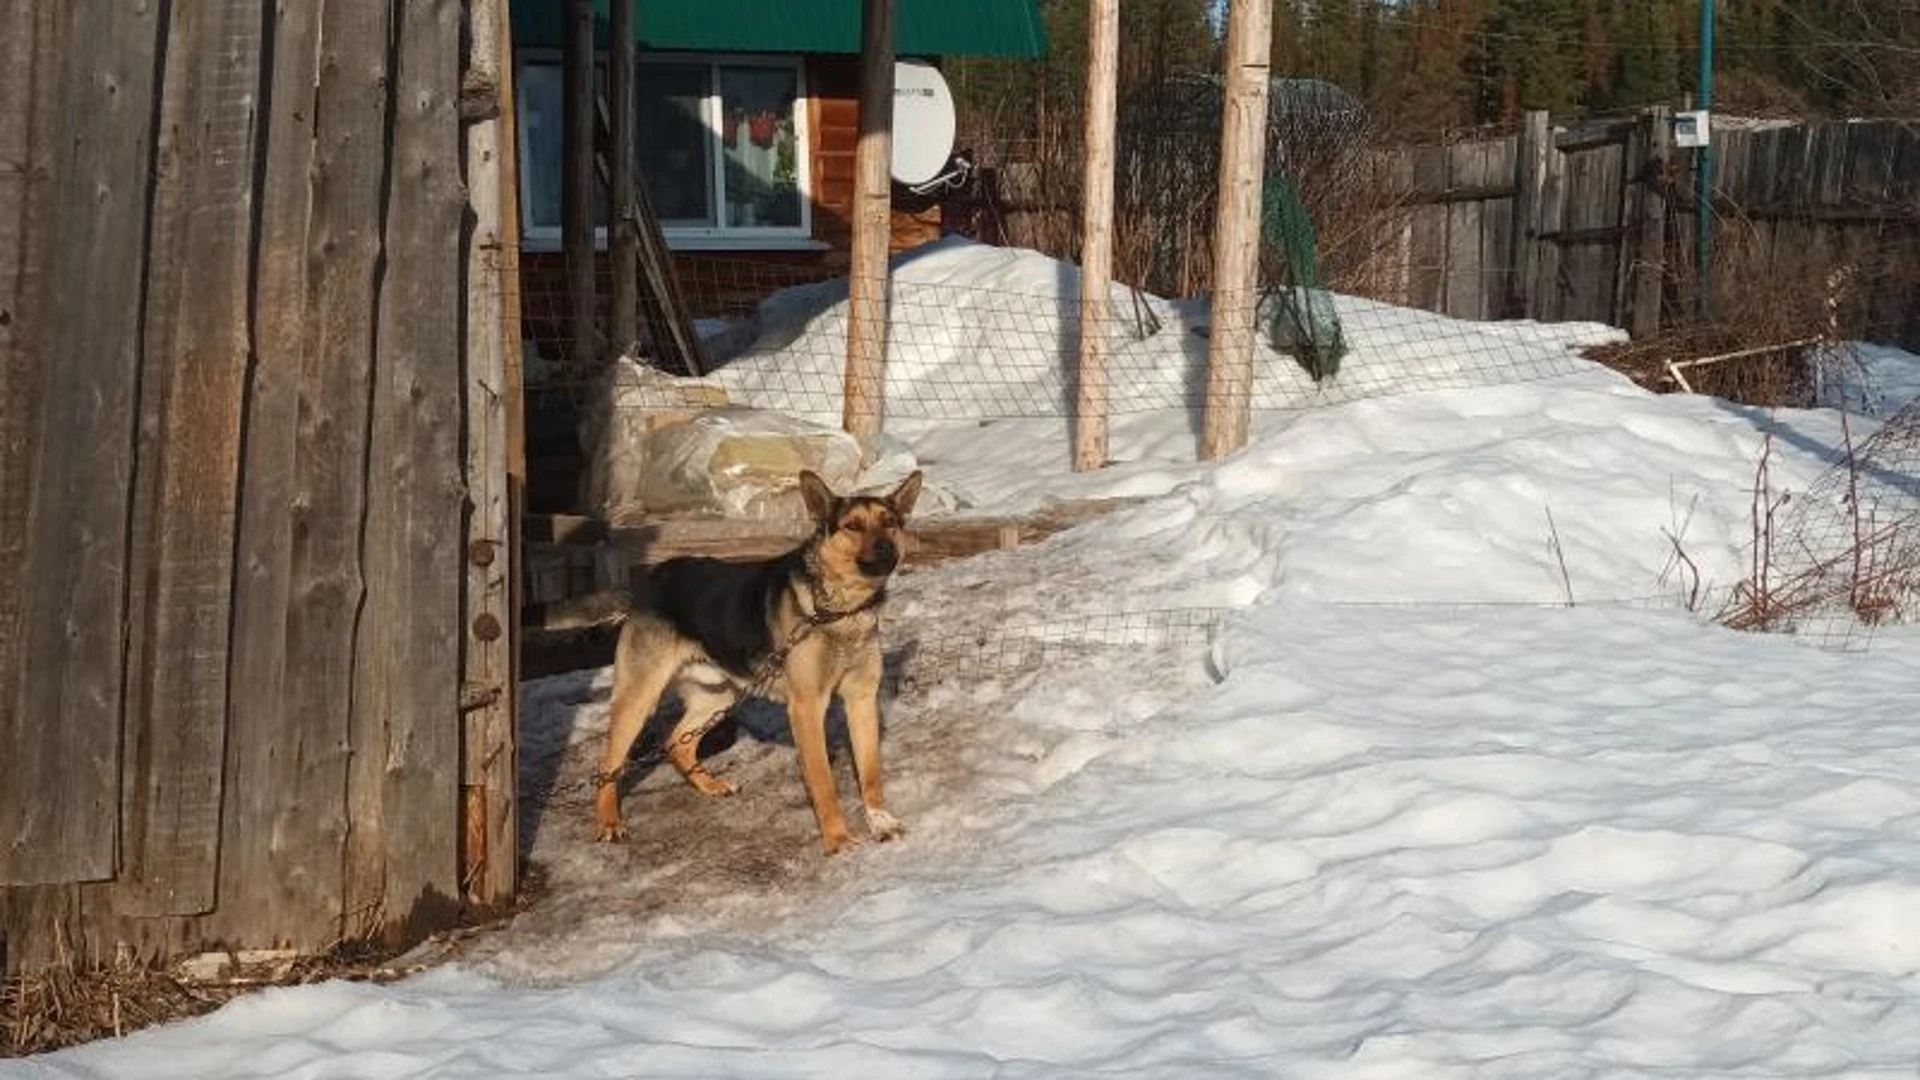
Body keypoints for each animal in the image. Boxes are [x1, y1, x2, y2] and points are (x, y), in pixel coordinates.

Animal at [595, 466, 925, 853]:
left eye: (889, 522)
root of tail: (653, 577)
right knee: (608, 762)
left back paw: (710, 786)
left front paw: (879, 820)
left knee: (678, 743)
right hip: (638, 698)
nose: (887, 547)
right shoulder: (807, 708)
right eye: (853, 526)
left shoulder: (861, 698)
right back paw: (608, 821)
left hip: (719, 695)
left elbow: (871, 770)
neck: (841, 610)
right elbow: (823, 783)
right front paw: (838, 839)